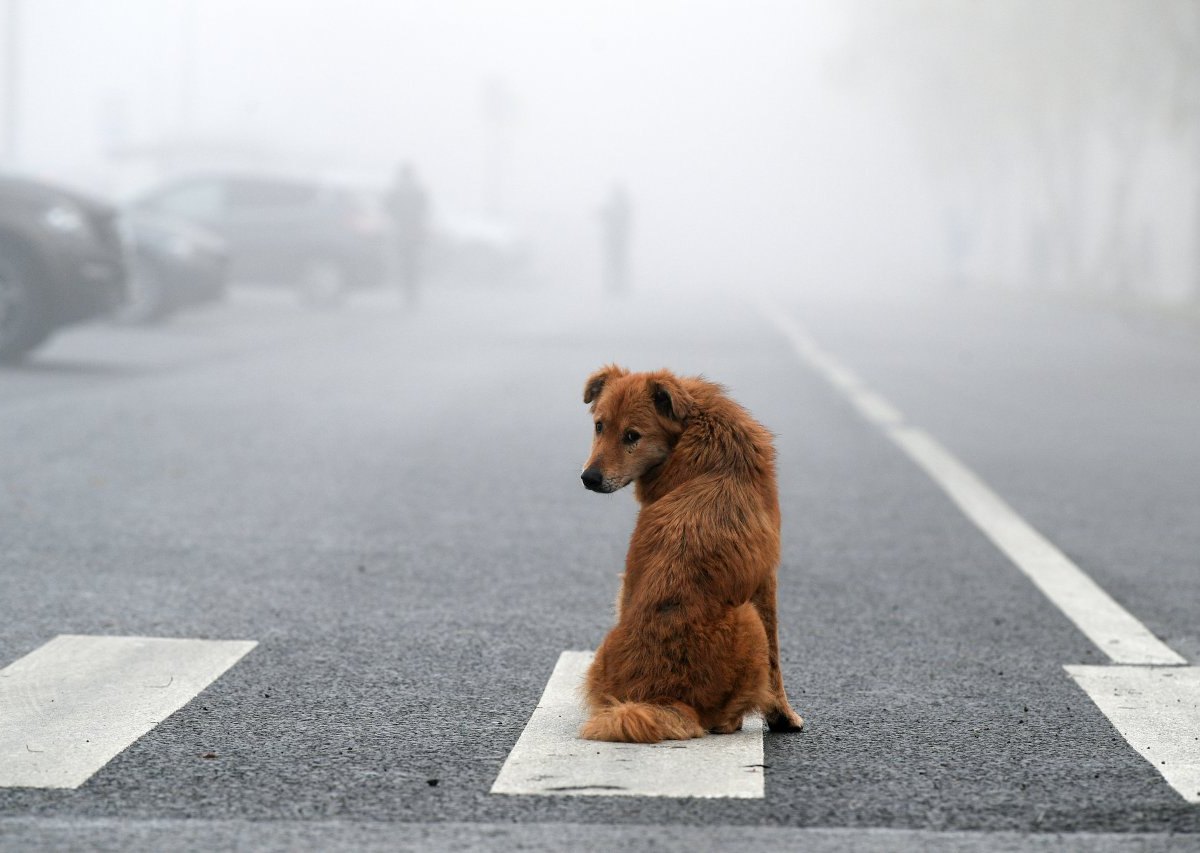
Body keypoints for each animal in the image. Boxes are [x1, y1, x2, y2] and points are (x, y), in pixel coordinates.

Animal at [576, 364, 801, 743]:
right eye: (600, 426)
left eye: (632, 435)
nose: (588, 478)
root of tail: (663, 697)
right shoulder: (766, 579)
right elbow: (775, 662)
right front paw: (783, 716)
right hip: (748, 619)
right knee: (723, 717)